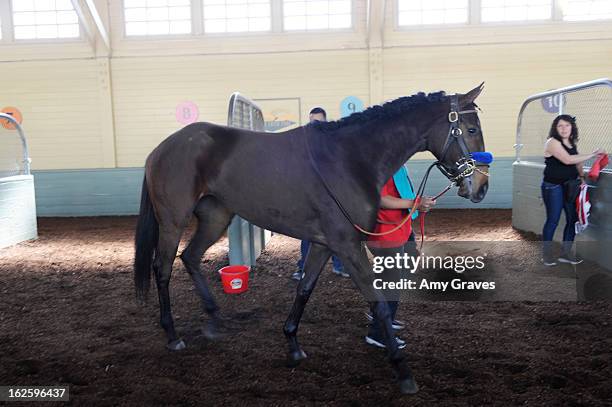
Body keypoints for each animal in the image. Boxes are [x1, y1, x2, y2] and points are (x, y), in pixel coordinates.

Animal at [133, 83, 488, 396]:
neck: (350, 159)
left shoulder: (323, 243)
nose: (481, 187)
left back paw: (213, 320)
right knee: (162, 269)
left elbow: (304, 289)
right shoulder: (347, 245)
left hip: (215, 217)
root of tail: (160, 149)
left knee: (190, 257)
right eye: (471, 129)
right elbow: (378, 303)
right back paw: (173, 335)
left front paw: (292, 344)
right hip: (173, 221)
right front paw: (403, 370)